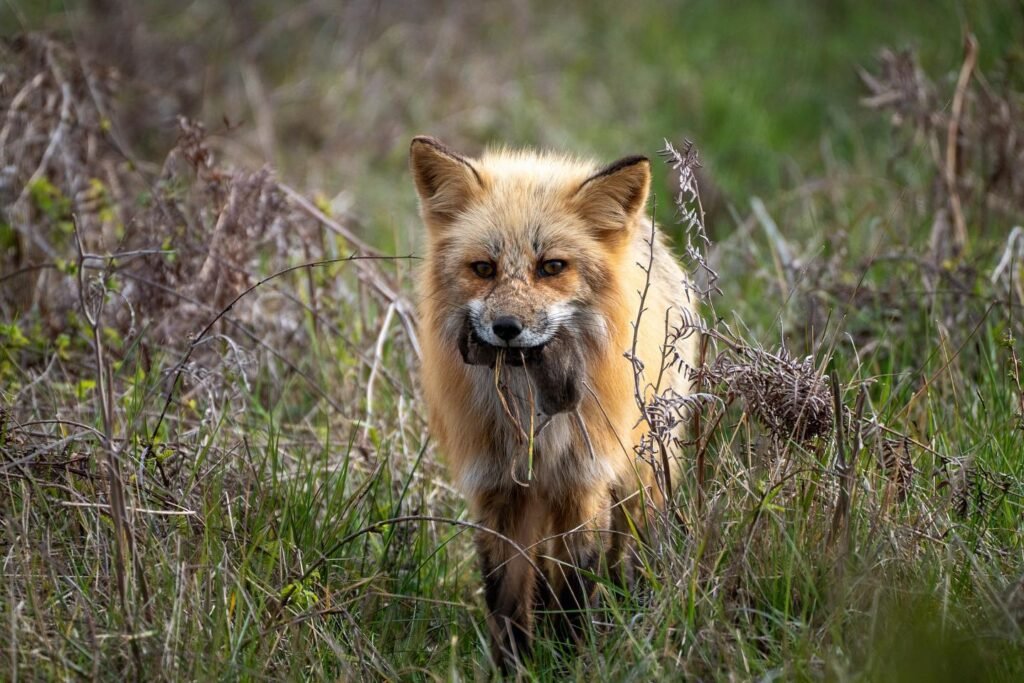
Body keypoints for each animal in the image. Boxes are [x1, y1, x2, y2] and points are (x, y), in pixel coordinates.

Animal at [410, 136, 699, 671]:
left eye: (551, 267)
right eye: (484, 269)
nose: (506, 328)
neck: (530, 411)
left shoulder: (581, 483)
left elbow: (573, 591)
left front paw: (568, 662)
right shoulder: (497, 488)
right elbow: (506, 600)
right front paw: (512, 669)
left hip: (642, 478)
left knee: (630, 553)